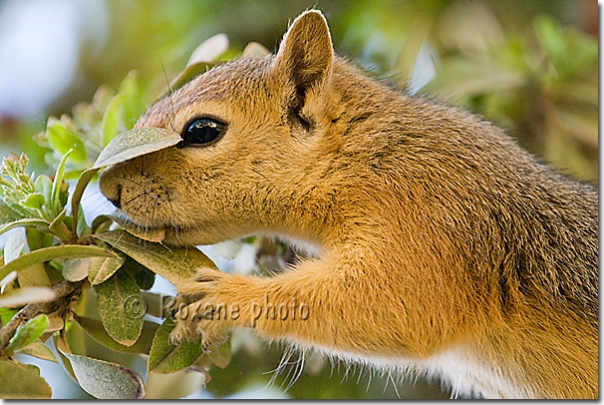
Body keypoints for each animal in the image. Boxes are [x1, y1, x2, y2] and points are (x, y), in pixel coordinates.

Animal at [96, 9, 596, 398]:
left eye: (202, 130)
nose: (107, 188)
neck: (364, 159)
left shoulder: (433, 221)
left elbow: (397, 304)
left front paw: (227, 296)